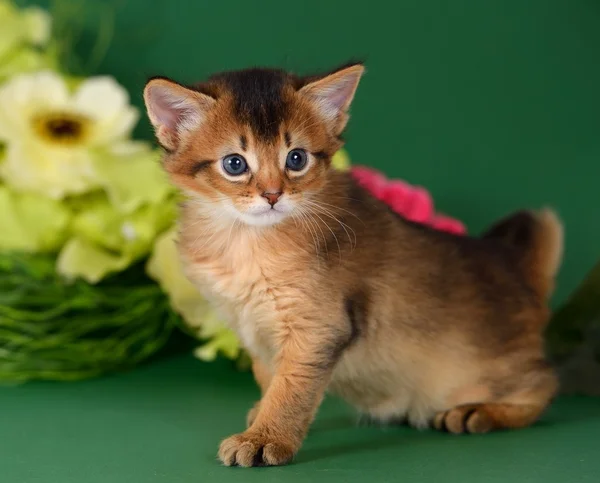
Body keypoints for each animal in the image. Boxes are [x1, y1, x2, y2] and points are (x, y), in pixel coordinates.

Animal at [144, 64, 564, 468]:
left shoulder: (319, 327)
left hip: (479, 372)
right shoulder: (252, 327)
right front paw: (262, 415)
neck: (245, 242)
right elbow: (271, 377)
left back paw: (483, 412)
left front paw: (265, 439)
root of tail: (514, 265)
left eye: (296, 158)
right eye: (234, 164)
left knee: (546, 382)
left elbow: (291, 387)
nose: (273, 195)